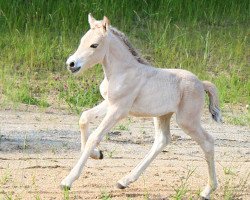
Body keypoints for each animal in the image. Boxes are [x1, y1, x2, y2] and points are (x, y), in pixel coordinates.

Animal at [61, 14, 221, 200]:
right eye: (82, 41)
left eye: (94, 45)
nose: (71, 64)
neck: (122, 72)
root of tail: (201, 83)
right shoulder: (109, 103)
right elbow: (84, 118)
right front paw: (97, 154)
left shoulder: (119, 110)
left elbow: (94, 136)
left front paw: (67, 181)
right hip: (163, 115)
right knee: (162, 140)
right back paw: (124, 181)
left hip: (187, 120)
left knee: (207, 142)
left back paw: (207, 191)